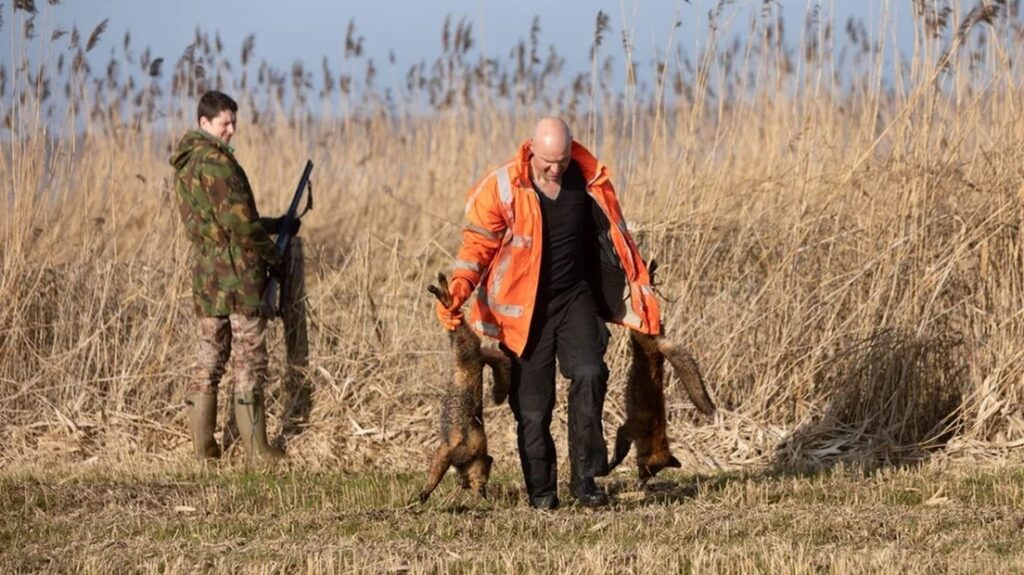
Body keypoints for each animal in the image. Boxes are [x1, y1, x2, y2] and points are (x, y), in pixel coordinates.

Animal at [417, 270, 509, 499]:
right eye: (484, 478)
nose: (483, 494)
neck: (476, 455)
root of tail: (479, 358)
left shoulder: (448, 450)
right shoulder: (453, 450)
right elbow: (436, 473)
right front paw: (426, 491)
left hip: (463, 346)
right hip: (467, 345)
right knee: (456, 315)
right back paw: (446, 296)